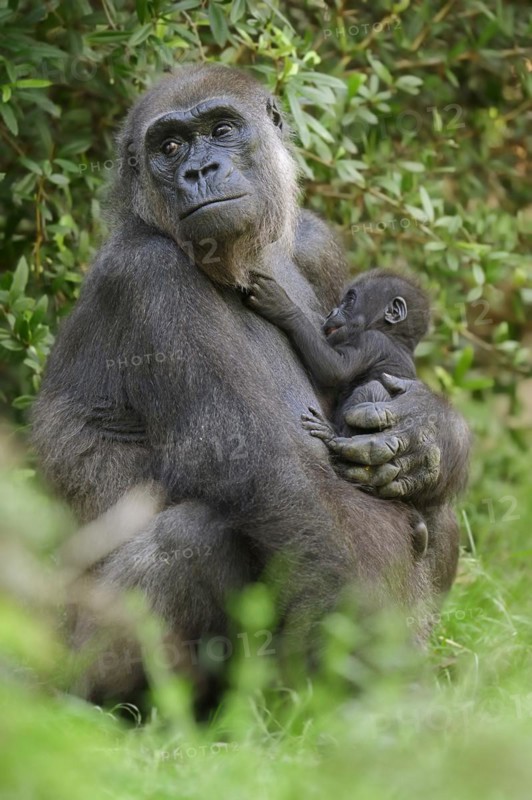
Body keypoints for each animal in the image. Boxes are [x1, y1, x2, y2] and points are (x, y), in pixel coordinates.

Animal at [245, 268, 431, 556]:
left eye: (349, 301)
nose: (332, 311)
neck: (398, 337)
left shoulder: (370, 340)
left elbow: (335, 369)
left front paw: (283, 307)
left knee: (370, 391)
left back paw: (336, 441)